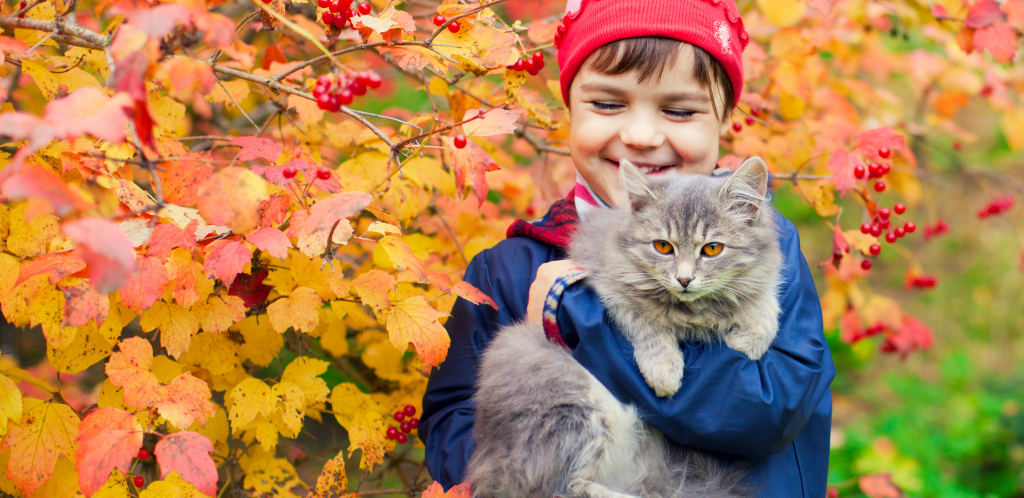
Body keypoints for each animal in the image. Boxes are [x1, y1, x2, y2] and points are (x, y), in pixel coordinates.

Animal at [468, 158, 778, 498]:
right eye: (663, 246)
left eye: (712, 249)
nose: (684, 279)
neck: (694, 310)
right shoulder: (606, 284)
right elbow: (646, 322)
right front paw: (664, 370)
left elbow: (766, 304)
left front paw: (748, 340)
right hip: (572, 405)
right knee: (558, 488)